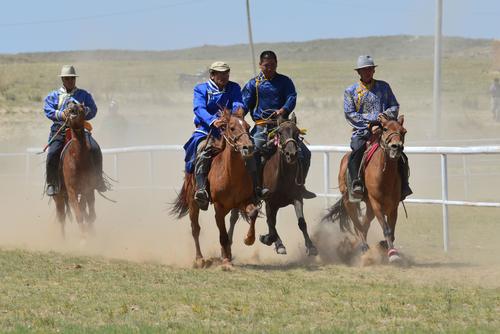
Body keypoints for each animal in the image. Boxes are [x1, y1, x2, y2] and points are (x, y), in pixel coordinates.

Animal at [53, 102, 99, 237]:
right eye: (68, 108)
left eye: (81, 107)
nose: (71, 106)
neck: (78, 159)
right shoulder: (72, 190)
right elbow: (79, 215)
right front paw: (84, 238)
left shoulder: (87, 188)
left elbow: (87, 213)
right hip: (58, 196)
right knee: (61, 217)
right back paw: (63, 239)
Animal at [171, 108, 260, 270]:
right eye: (232, 128)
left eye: (248, 126)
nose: (248, 147)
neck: (230, 174)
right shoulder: (219, 207)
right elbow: (223, 235)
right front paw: (225, 262)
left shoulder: (243, 201)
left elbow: (253, 213)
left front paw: (248, 239)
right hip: (193, 203)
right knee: (195, 229)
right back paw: (200, 259)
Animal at [256, 113, 318, 258]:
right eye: (279, 132)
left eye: (297, 132)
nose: (292, 154)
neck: (283, 177)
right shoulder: (270, 203)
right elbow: (271, 226)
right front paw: (272, 241)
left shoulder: (297, 198)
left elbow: (302, 223)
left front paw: (311, 246)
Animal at [322, 115, 408, 264]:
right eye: (385, 129)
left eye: (403, 131)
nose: (396, 147)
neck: (385, 176)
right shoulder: (376, 204)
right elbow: (387, 229)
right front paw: (392, 254)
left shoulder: (393, 206)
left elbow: (391, 231)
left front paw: (384, 245)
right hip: (349, 201)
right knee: (357, 223)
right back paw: (363, 247)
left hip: (369, 206)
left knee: (364, 224)